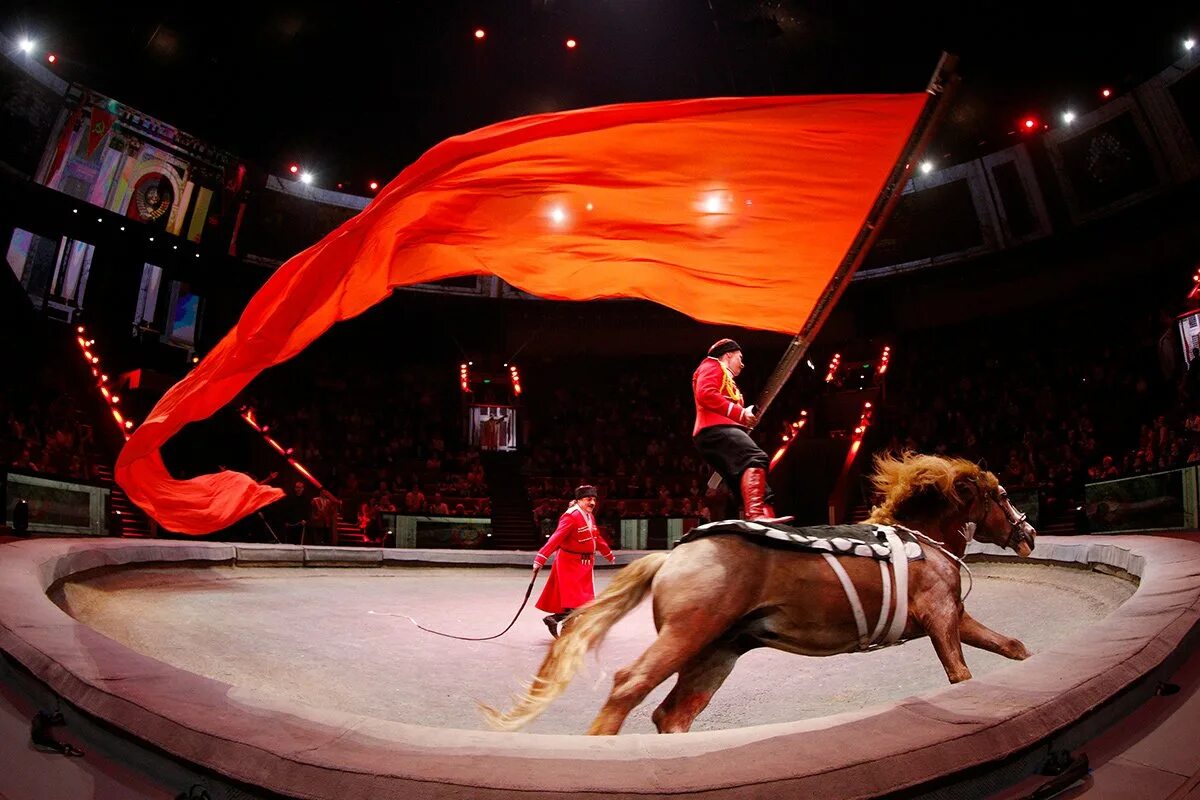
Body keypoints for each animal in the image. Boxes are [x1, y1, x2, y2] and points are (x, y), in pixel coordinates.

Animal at [482, 453, 1036, 734]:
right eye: (1004, 494)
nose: (1028, 534)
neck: (919, 543)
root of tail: (674, 555)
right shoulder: (940, 619)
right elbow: (961, 675)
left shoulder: (954, 617)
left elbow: (1014, 647)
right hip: (689, 637)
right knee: (629, 686)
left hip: (717, 650)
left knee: (672, 713)